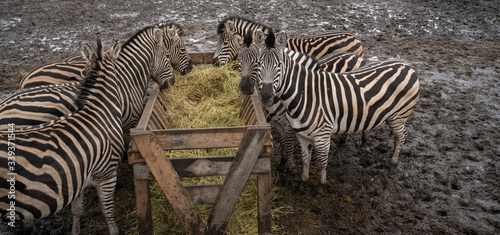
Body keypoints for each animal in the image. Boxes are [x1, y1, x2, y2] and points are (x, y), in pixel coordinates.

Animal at [0, 38, 123, 235]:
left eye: (83, 72)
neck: (100, 110)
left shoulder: (79, 177)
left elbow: (77, 210)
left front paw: (75, 231)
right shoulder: (107, 174)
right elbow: (108, 210)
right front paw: (114, 232)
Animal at [234, 30, 368, 185]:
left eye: (256, 62)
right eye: (239, 59)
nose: (245, 87)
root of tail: (355, 56)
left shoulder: (290, 125)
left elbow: (289, 146)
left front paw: (288, 172)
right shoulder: (278, 123)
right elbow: (282, 142)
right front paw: (282, 162)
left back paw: (363, 141)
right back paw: (342, 140)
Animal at [252, 30, 420, 197]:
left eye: (279, 65)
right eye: (259, 64)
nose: (266, 95)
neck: (306, 94)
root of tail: (407, 65)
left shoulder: (321, 135)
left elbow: (321, 161)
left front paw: (319, 187)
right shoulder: (301, 134)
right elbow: (305, 159)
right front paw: (301, 184)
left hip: (399, 116)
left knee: (401, 136)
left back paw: (392, 163)